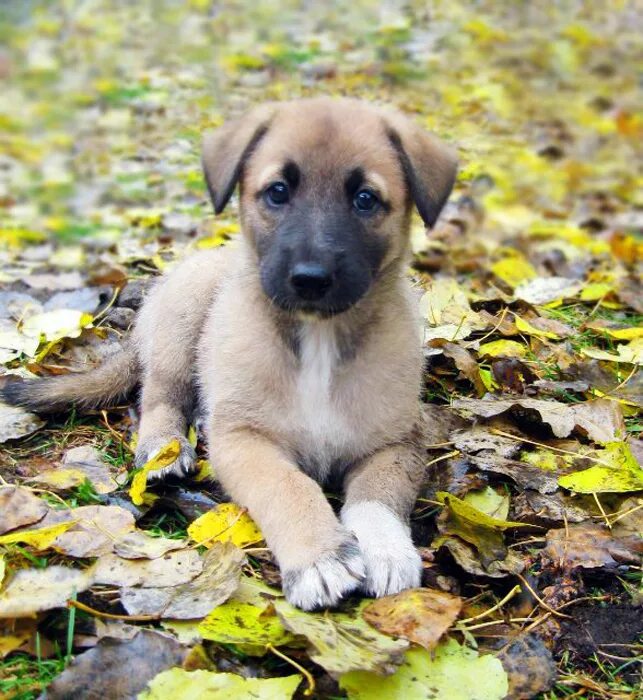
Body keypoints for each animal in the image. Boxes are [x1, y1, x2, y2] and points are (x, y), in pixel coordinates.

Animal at [2, 95, 460, 608]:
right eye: (277, 192)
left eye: (365, 199)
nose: (310, 279)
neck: (318, 340)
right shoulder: (245, 442)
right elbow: (289, 485)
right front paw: (319, 556)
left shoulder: (397, 443)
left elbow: (377, 495)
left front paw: (385, 547)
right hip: (181, 327)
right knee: (158, 397)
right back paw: (164, 447)